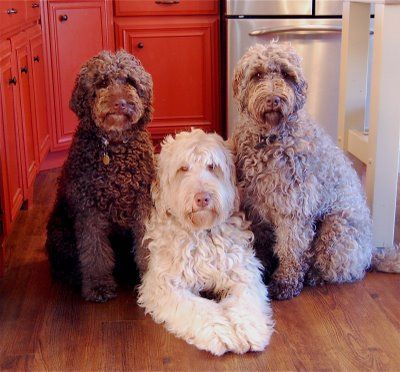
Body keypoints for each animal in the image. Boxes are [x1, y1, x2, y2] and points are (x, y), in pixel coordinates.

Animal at [45, 50, 155, 302]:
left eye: (130, 81)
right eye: (103, 82)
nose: (121, 103)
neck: (114, 149)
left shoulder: (142, 204)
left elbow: (145, 244)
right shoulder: (89, 210)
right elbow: (94, 252)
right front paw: (98, 286)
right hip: (59, 230)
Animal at [136, 129, 274, 356]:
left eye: (212, 166)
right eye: (183, 168)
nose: (203, 198)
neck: (202, 235)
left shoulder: (243, 273)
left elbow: (245, 301)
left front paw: (247, 328)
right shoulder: (165, 285)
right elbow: (198, 307)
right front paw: (220, 332)